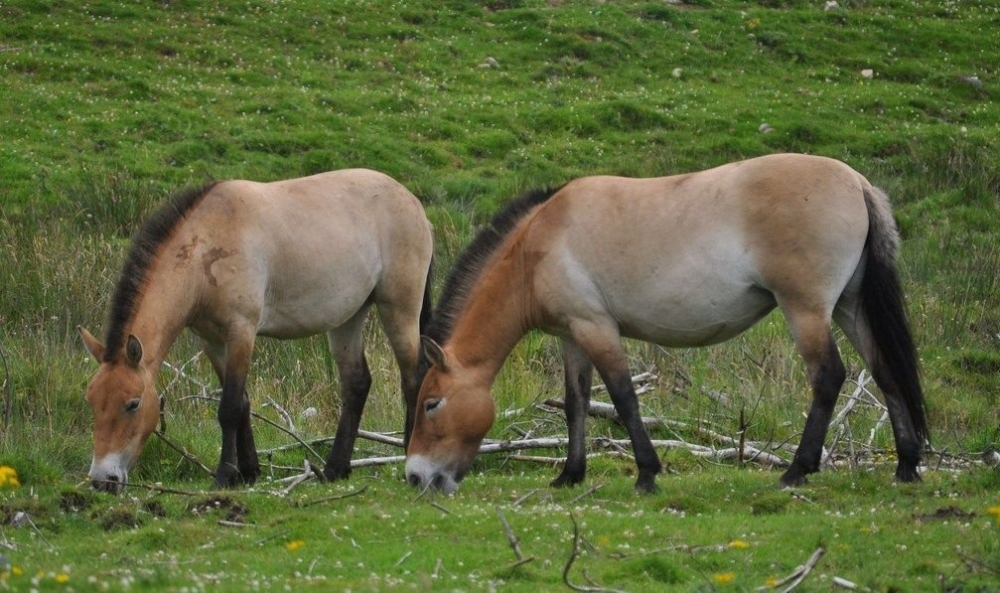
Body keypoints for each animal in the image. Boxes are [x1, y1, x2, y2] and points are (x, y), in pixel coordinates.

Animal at [80, 169, 432, 492]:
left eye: (132, 404)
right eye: (92, 401)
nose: (102, 480)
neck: (207, 246)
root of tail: (411, 200)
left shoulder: (241, 331)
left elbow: (229, 407)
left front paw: (225, 475)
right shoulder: (212, 341)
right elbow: (243, 403)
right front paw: (248, 471)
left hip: (398, 308)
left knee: (413, 377)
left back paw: (410, 457)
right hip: (348, 318)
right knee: (357, 384)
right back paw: (335, 468)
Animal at [406, 151, 928, 490]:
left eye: (431, 403)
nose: (415, 476)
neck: (540, 244)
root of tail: (857, 183)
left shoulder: (596, 328)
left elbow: (623, 398)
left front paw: (647, 473)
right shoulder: (572, 336)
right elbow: (576, 403)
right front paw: (569, 475)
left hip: (806, 311)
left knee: (828, 376)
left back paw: (797, 470)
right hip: (849, 306)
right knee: (884, 372)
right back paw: (906, 466)